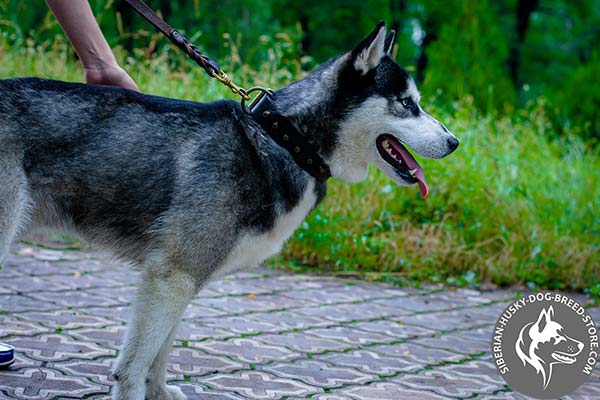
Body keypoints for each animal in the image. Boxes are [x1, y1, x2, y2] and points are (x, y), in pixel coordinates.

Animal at [1, 22, 460, 400]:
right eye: (406, 103)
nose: (455, 142)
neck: (284, 138)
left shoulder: (178, 281)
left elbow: (158, 356)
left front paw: (160, 392)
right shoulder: (172, 276)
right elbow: (134, 365)